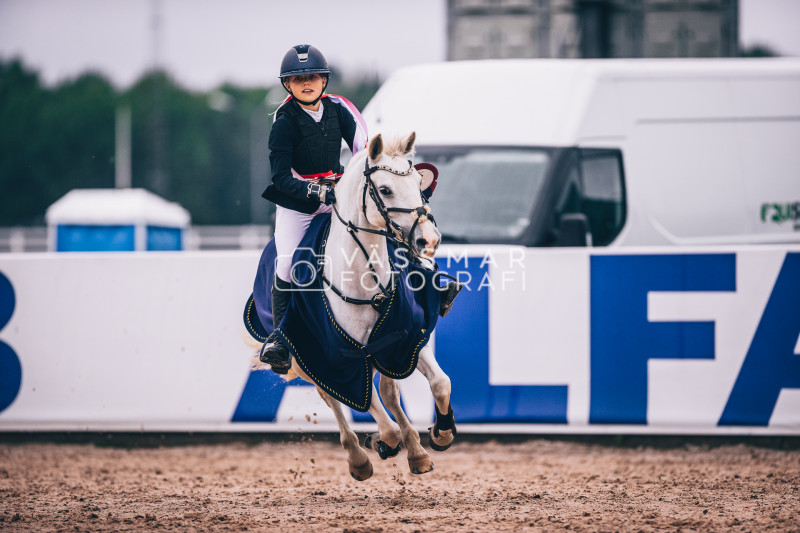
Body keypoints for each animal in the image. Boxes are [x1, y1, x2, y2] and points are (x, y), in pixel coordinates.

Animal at [256, 132, 456, 478]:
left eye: (419, 183)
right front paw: (389, 442)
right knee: (332, 398)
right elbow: (370, 406)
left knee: (387, 395)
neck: (365, 280)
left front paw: (440, 433)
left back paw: (410, 449)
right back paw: (362, 457)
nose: (429, 240)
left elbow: (439, 384)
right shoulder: (342, 356)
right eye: (385, 190)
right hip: (306, 356)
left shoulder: (405, 339)